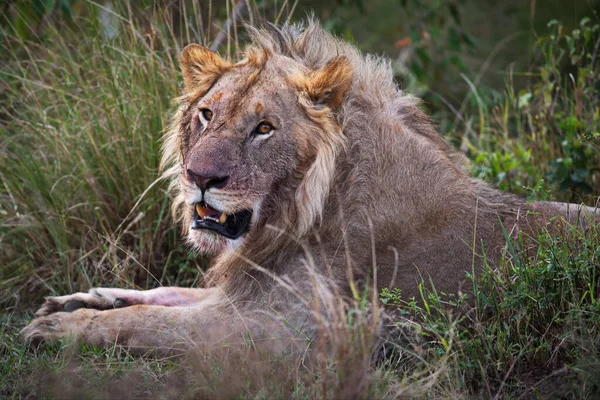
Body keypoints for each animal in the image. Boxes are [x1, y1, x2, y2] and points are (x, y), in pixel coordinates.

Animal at [21, 21, 596, 354]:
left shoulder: (282, 332)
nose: (199, 179)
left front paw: (61, 330)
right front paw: (77, 301)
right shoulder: (246, 291)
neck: (294, 214)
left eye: (264, 128)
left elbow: (148, 323)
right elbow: (168, 294)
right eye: (206, 114)